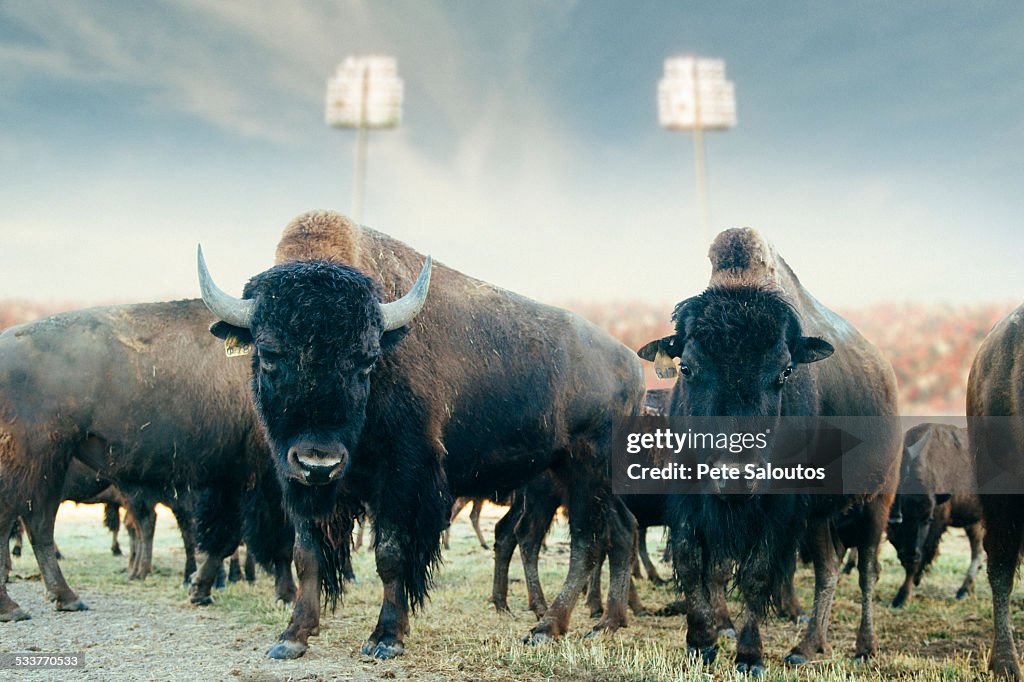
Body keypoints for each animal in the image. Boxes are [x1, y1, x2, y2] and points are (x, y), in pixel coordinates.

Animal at [0, 301, 296, 618]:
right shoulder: (265, 479)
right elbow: (275, 538)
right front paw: (286, 595)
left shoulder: (232, 479)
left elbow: (225, 536)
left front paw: (199, 589)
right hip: (35, 463)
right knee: (22, 521)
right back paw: (14, 606)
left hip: (49, 466)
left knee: (38, 525)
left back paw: (66, 598)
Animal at [196, 208, 643, 659]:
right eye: (269, 354)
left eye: (367, 359)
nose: (318, 461)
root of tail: (630, 363)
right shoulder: (301, 482)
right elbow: (307, 553)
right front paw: (293, 636)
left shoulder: (402, 477)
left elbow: (391, 553)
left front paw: (385, 638)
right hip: (573, 476)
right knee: (621, 531)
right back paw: (607, 622)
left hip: (585, 471)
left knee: (587, 542)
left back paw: (548, 627)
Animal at [638, 227, 905, 667]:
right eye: (686, 367)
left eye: (785, 371)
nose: (735, 477)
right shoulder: (690, 496)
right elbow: (692, 561)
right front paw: (701, 642)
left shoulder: (778, 506)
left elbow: (756, 574)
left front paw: (749, 654)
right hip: (820, 518)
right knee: (829, 568)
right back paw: (806, 647)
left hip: (875, 503)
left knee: (867, 571)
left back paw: (864, 648)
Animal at [888, 419, 983, 606]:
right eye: (901, 519)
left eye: (928, 519)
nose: (911, 554)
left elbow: (920, 560)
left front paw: (902, 597)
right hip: (974, 522)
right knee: (978, 550)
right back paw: (964, 591)